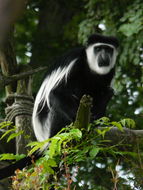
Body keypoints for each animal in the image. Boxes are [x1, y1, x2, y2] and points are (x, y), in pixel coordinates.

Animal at [0, 33, 118, 179]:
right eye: (98, 48)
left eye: (109, 50)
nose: (104, 55)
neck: (91, 68)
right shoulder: (75, 62)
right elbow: (55, 93)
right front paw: (78, 122)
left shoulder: (110, 72)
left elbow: (107, 91)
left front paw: (93, 119)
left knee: (107, 91)